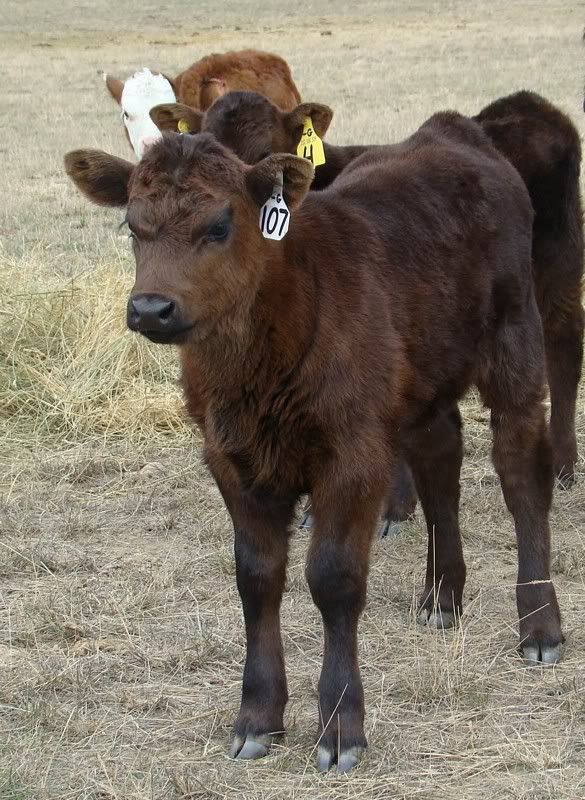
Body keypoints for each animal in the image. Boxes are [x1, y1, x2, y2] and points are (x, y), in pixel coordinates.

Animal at [64, 117, 563, 771]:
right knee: (440, 464)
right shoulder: (230, 458)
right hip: (422, 382)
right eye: (131, 225)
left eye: (220, 224)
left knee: (521, 472)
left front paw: (340, 726)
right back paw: (442, 596)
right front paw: (257, 718)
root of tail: (452, 131)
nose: (150, 308)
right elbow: (256, 578)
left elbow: (333, 579)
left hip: (515, 340)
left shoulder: (353, 454)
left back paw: (540, 626)